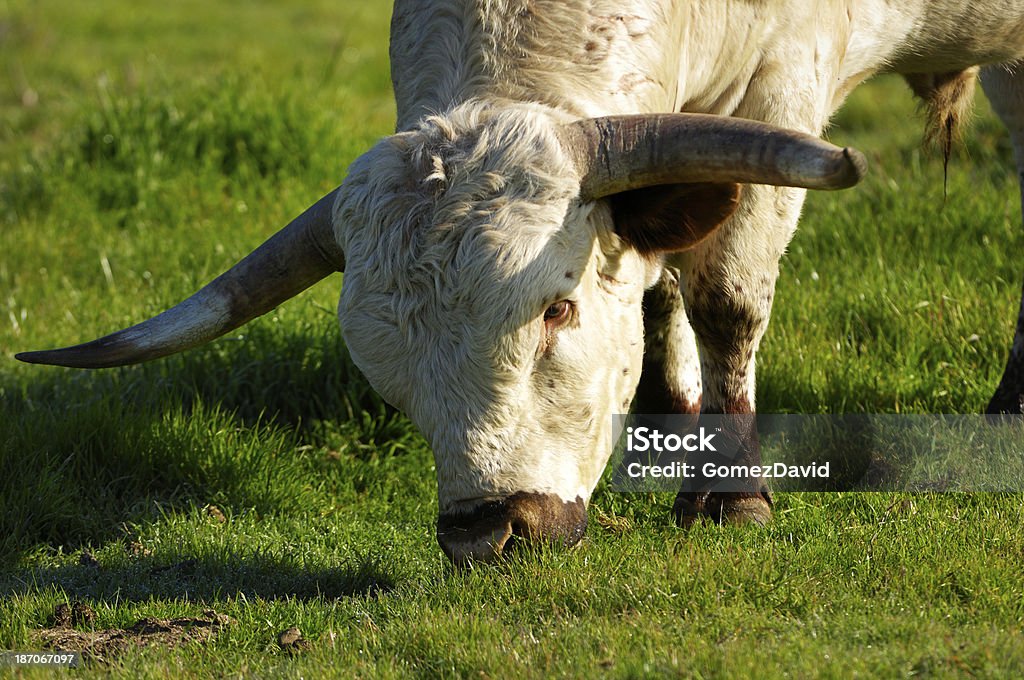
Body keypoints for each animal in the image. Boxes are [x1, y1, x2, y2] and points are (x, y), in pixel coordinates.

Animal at [16, 0, 1024, 561]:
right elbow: (658, 286)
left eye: (558, 308)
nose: (488, 532)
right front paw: (667, 438)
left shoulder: (783, 81)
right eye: (383, 374)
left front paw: (734, 496)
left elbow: (724, 298)